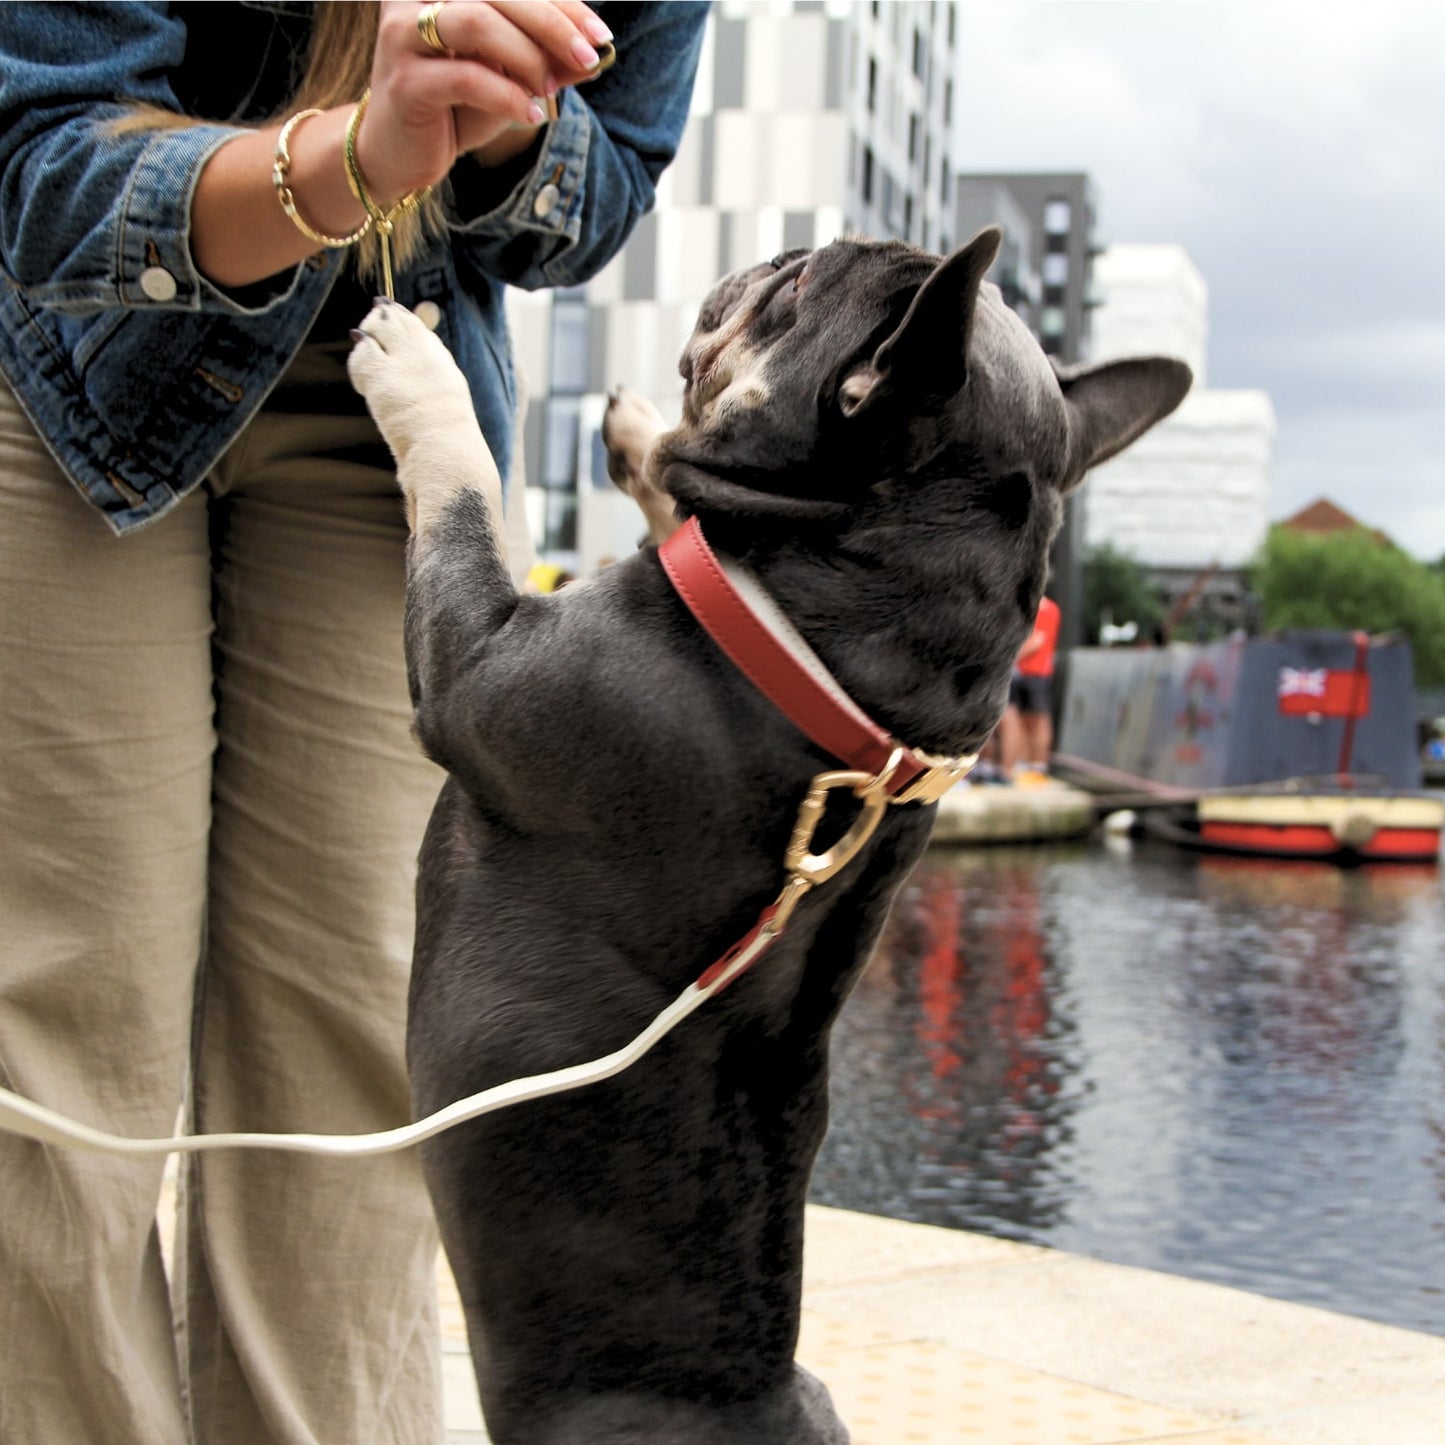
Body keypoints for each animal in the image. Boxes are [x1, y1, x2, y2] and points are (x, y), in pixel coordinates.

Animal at [349, 231, 1184, 1439]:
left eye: (792, 290)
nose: (784, 248)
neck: (836, 642)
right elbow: (681, 503)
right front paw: (639, 439)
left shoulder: (472, 660)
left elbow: (465, 487)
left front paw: (419, 365)